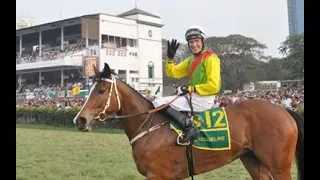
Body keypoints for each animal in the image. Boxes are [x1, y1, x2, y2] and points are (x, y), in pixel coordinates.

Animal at [73, 62, 304, 179]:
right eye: (90, 89)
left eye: (101, 90)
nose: (80, 119)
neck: (149, 127)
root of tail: (285, 111)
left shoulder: (158, 175)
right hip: (252, 161)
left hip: (279, 166)